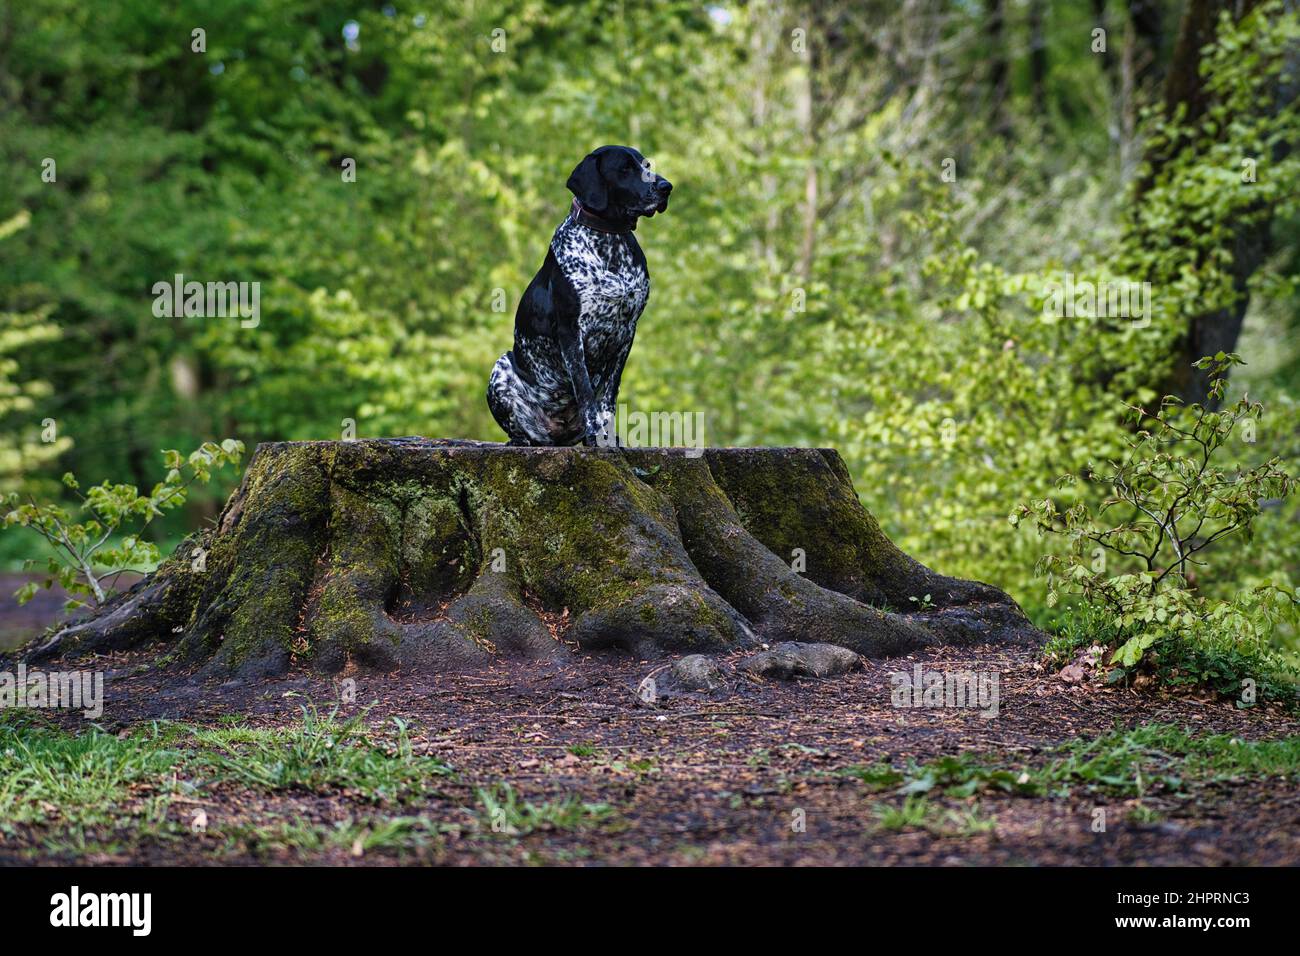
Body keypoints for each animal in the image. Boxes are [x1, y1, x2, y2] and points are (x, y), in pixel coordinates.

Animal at [486, 145, 670, 447]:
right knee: (521, 432)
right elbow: (585, 391)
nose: (667, 187)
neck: (610, 241)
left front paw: (607, 437)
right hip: (501, 367)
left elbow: (607, 397)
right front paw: (596, 435)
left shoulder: (627, 332)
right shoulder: (571, 331)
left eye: (647, 165)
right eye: (625, 168)